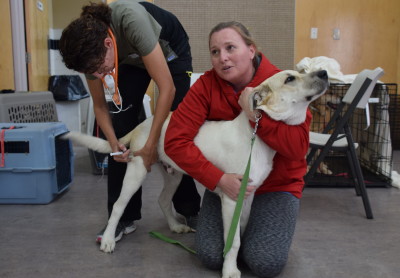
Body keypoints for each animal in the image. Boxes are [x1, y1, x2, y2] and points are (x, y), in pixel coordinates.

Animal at [63, 69, 328, 278]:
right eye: (290, 78)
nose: (324, 72)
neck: (255, 135)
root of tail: (144, 124)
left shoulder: (248, 195)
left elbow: (239, 232)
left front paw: (237, 260)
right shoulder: (232, 198)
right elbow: (233, 240)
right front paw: (230, 270)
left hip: (174, 174)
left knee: (163, 199)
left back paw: (175, 227)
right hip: (137, 171)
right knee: (119, 205)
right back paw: (108, 239)